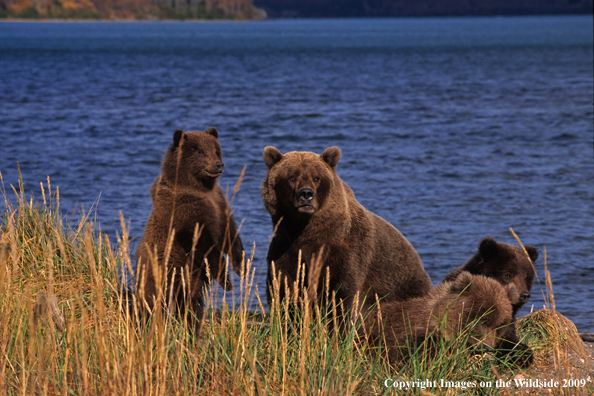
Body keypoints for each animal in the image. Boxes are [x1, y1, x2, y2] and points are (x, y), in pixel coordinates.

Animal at [135, 128, 243, 324]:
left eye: (216, 150)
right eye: (200, 152)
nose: (218, 165)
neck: (199, 187)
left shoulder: (218, 203)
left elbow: (229, 232)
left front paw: (241, 266)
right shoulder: (184, 212)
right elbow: (202, 244)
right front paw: (226, 281)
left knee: (194, 306)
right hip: (168, 274)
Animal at [260, 147, 430, 318]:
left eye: (316, 177)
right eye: (292, 177)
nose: (306, 194)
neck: (305, 230)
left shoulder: (344, 252)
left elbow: (340, 294)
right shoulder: (285, 248)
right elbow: (283, 288)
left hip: (404, 284)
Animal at [440, 237, 536, 366]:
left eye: (526, 277)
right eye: (508, 274)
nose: (524, 295)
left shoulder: (507, 320)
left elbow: (508, 338)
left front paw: (522, 355)